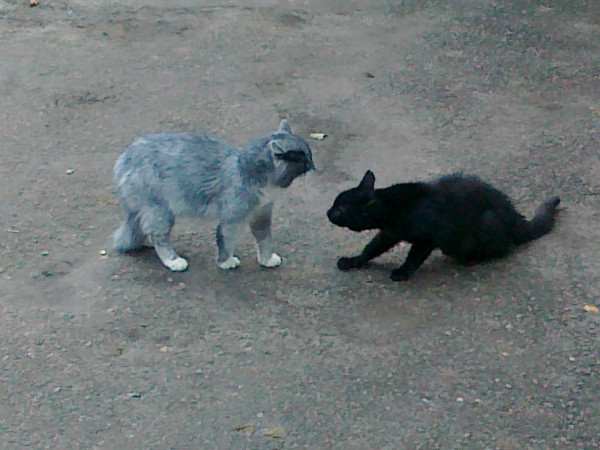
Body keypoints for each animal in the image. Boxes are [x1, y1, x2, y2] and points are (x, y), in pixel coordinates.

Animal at [113, 120, 315, 271]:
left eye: (309, 155)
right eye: (302, 158)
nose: (313, 166)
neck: (247, 169)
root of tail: (125, 158)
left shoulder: (261, 215)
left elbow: (264, 240)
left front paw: (266, 259)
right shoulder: (232, 219)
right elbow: (226, 241)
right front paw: (225, 262)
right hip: (160, 210)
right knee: (158, 236)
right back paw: (173, 260)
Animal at [327, 170, 560, 281]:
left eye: (339, 209)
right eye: (334, 203)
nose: (328, 212)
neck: (396, 208)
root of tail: (514, 215)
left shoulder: (426, 238)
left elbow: (413, 257)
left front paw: (402, 272)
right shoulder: (389, 234)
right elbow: (371, 249)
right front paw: (353, 261)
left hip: (487, 222)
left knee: (505, 248)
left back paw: (472, 259)